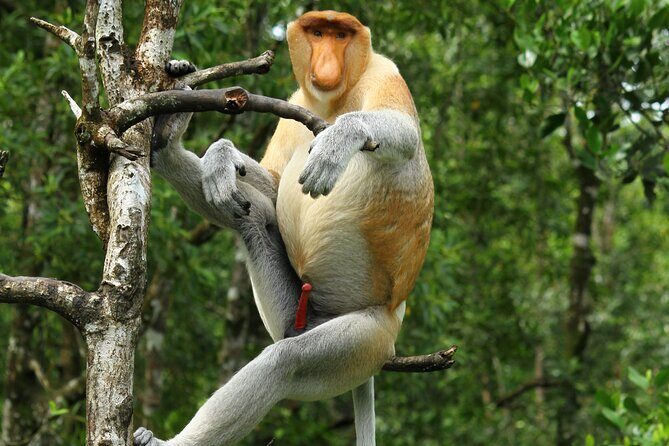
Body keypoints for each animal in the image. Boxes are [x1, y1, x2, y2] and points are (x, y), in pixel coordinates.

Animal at [134, 10, 433, 446]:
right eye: (318, 33)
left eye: (341, 36)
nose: (325, 62)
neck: (333, 100)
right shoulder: (296, 103)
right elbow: (275, 188)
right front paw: (221, 156)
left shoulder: (384, 73)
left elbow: (404, 133)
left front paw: (338, 140)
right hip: (292, 315)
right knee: (251, 215)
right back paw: (167, 141)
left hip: (367, 340)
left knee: (286, 361)